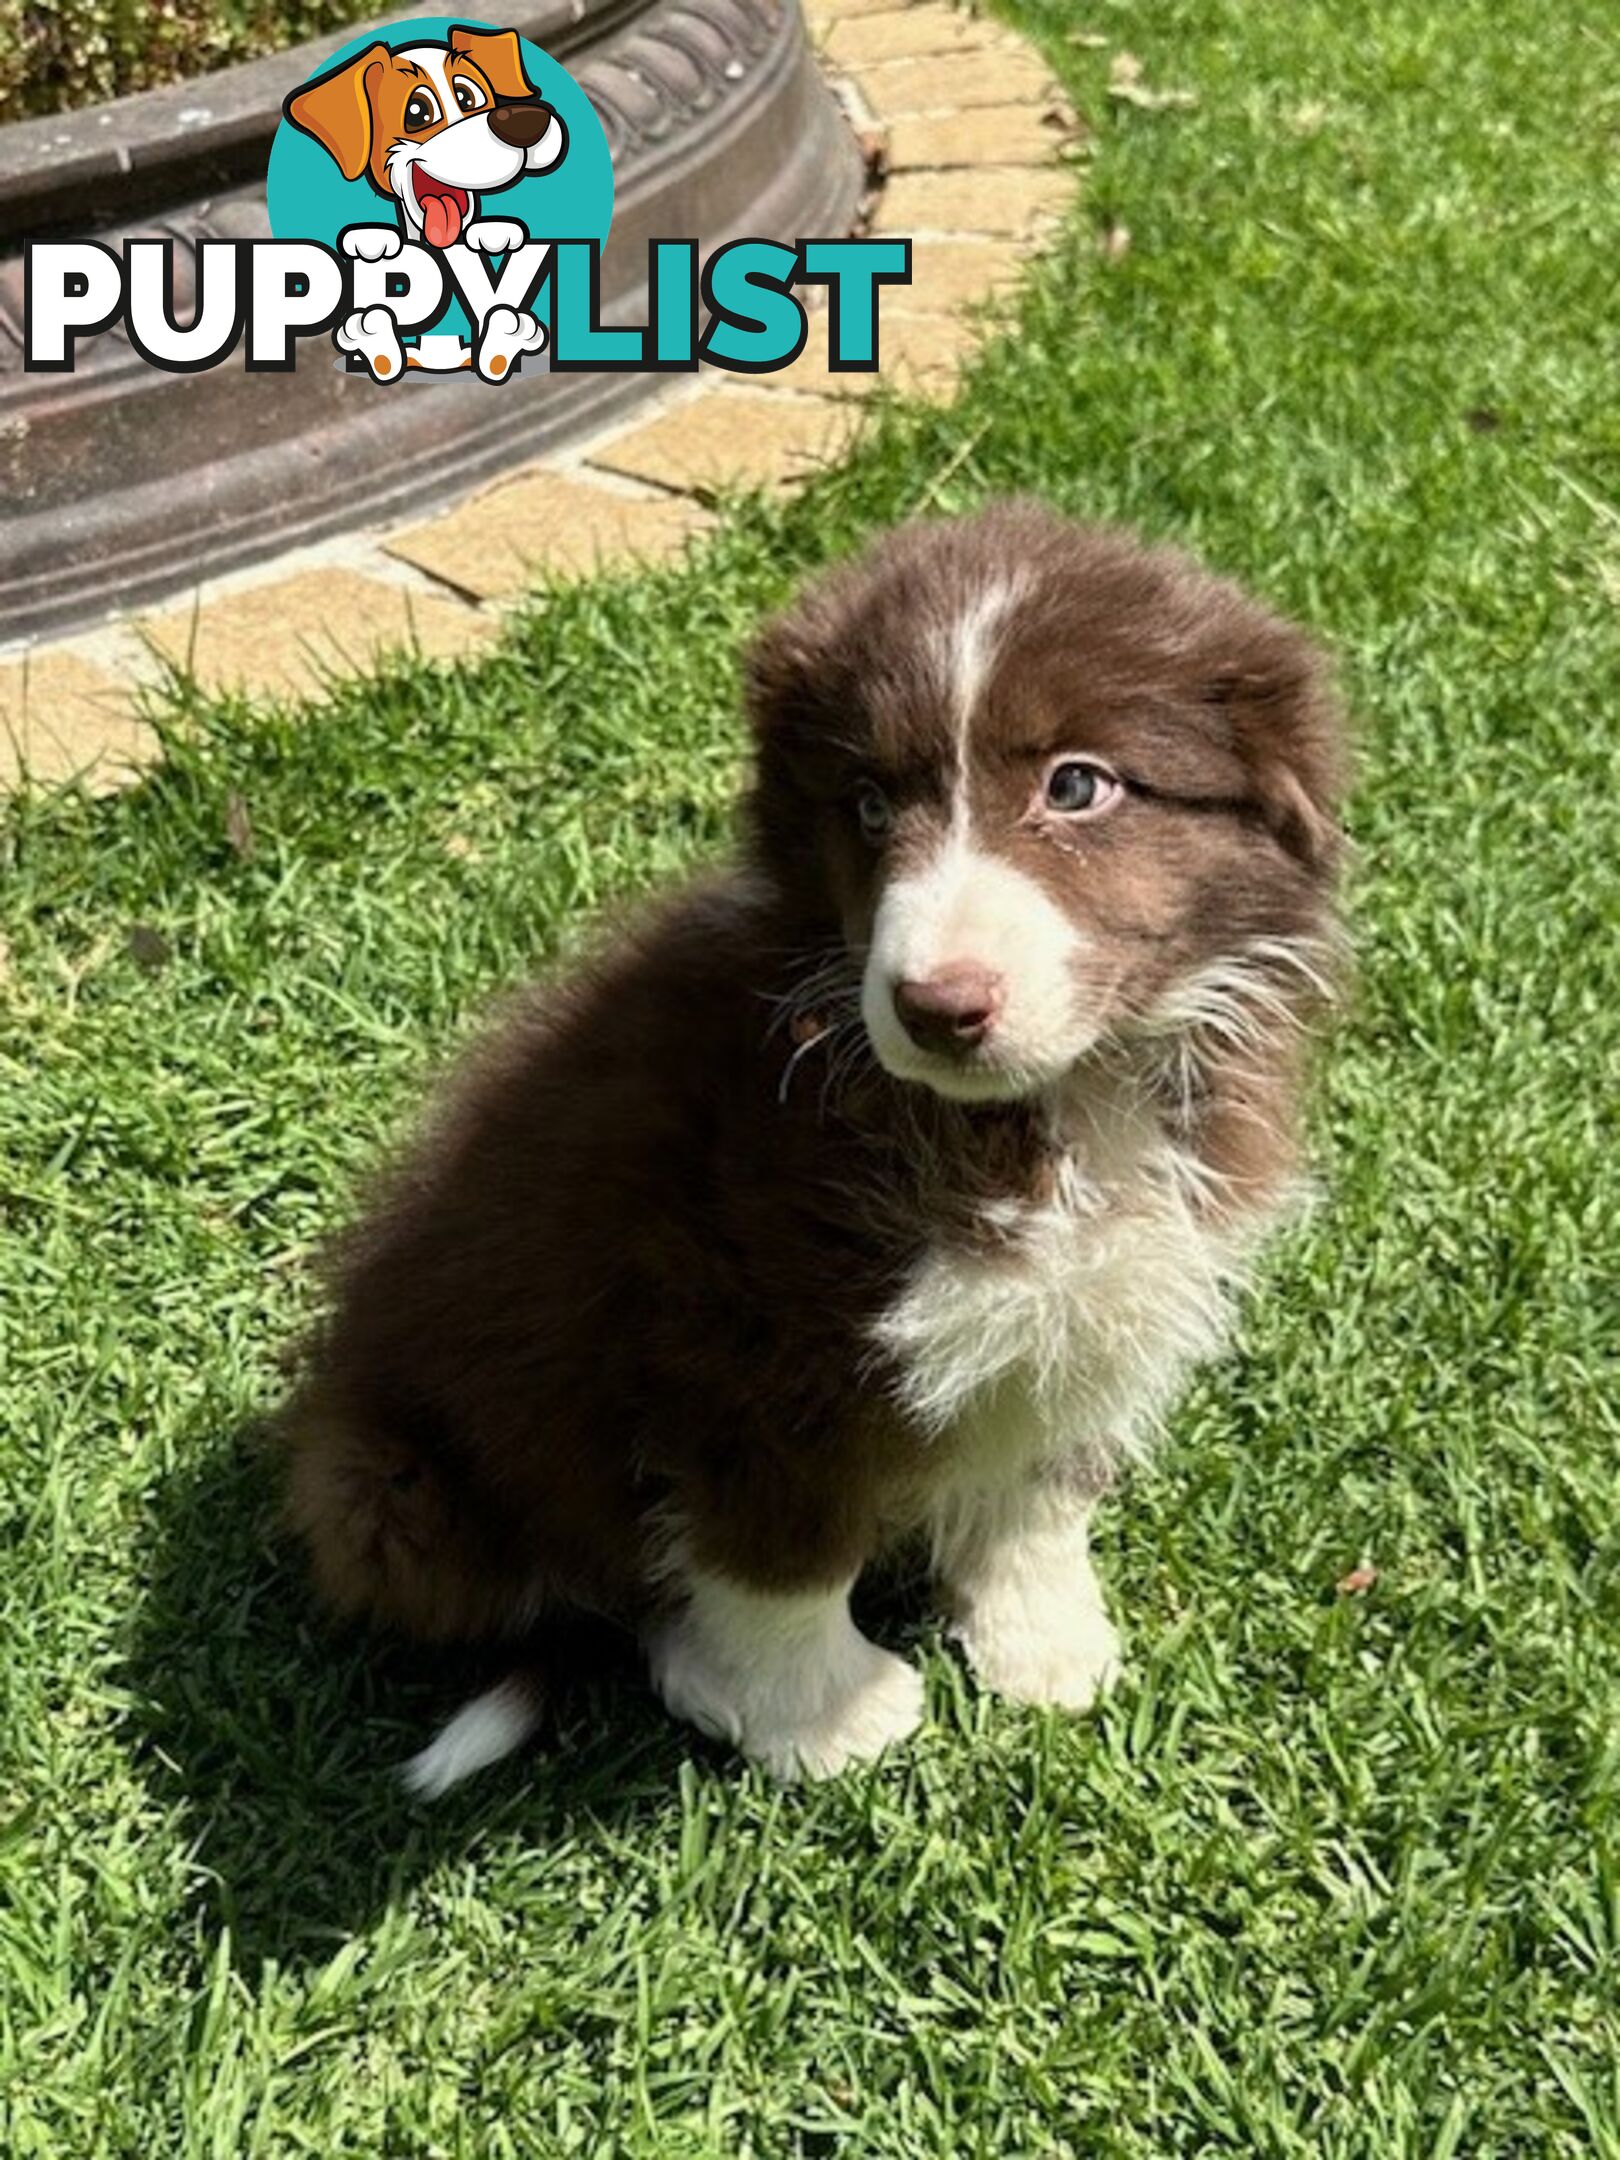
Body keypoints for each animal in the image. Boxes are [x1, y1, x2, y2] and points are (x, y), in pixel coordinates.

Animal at [285, 501, 1347, 1788]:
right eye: (870, 805)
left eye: (1079, 786)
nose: (938, 1006)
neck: (1059, 1109)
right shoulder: (737, 1343)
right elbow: (782, 1548)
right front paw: (824, 1718)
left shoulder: (1103, 1302)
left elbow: (1041, 1485)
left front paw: (1040, 1640)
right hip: (391, 1492)